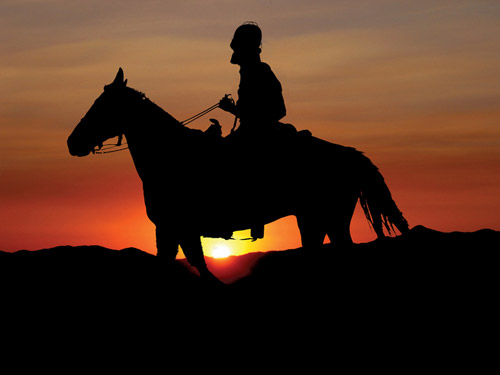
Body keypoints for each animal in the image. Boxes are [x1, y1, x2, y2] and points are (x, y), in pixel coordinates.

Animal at [68, 68, 408, 280]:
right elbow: (196, 266)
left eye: (101, 106)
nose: (73, 142)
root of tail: (350, 153)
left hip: (325, 217)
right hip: (318, 219)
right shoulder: (178, 231)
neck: (172, 154)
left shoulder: (172, 228)